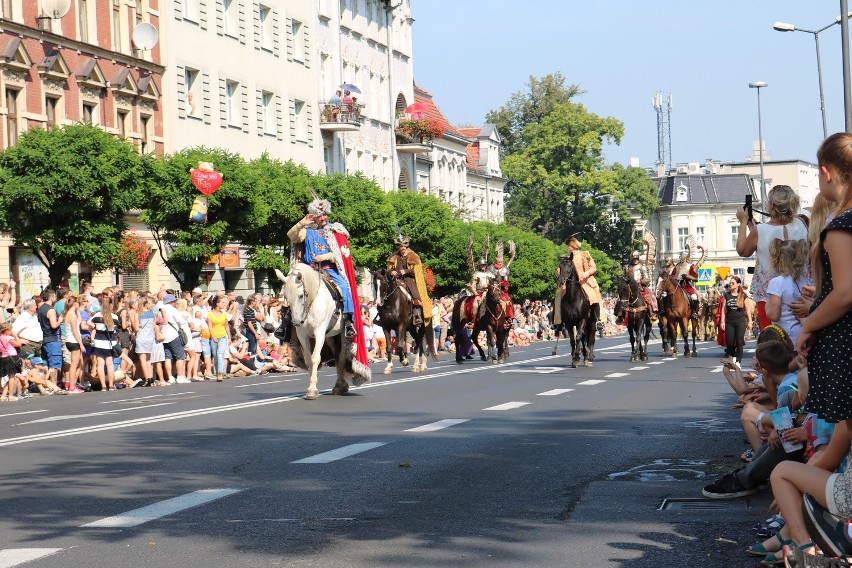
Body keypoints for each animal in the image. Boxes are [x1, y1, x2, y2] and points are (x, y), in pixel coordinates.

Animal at [280, 266, 356, 400]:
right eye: (286, 297)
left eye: (301, 296)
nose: (296, 322)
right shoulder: (302, 335)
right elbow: (309, 360)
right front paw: (311, 387)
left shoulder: (319, 332)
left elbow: (315, 358)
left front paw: (312, 390)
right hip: (330, 337)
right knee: (336, 355)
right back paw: (340, 386)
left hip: (340, 334)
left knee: (341, 357)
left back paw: (340, 386)